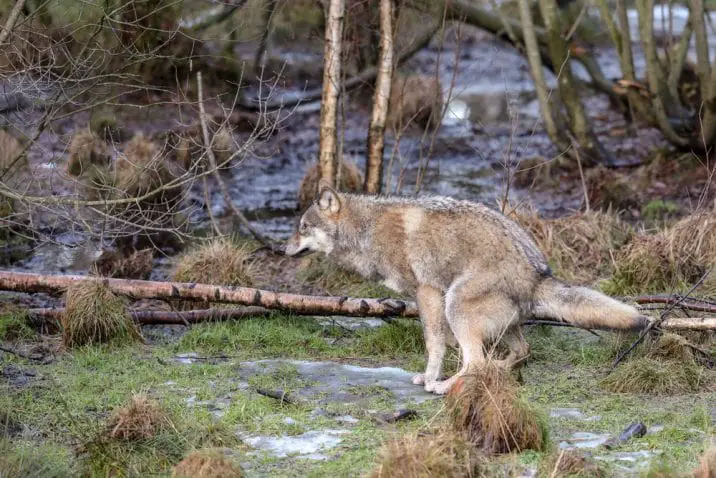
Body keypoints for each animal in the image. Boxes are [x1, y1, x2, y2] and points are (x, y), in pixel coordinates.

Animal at [282, 181, 652, 394]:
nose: (282, 249)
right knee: (513, 355)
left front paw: (432, 378)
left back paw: (447, 387)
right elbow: (442, 343)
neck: (366, 230)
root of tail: (538, 275)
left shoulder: (428, 293)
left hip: (456, 304)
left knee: (477, 362)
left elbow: (433, 343)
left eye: (302, 227)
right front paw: (430, 376)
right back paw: (491, 374)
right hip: (499, 322)